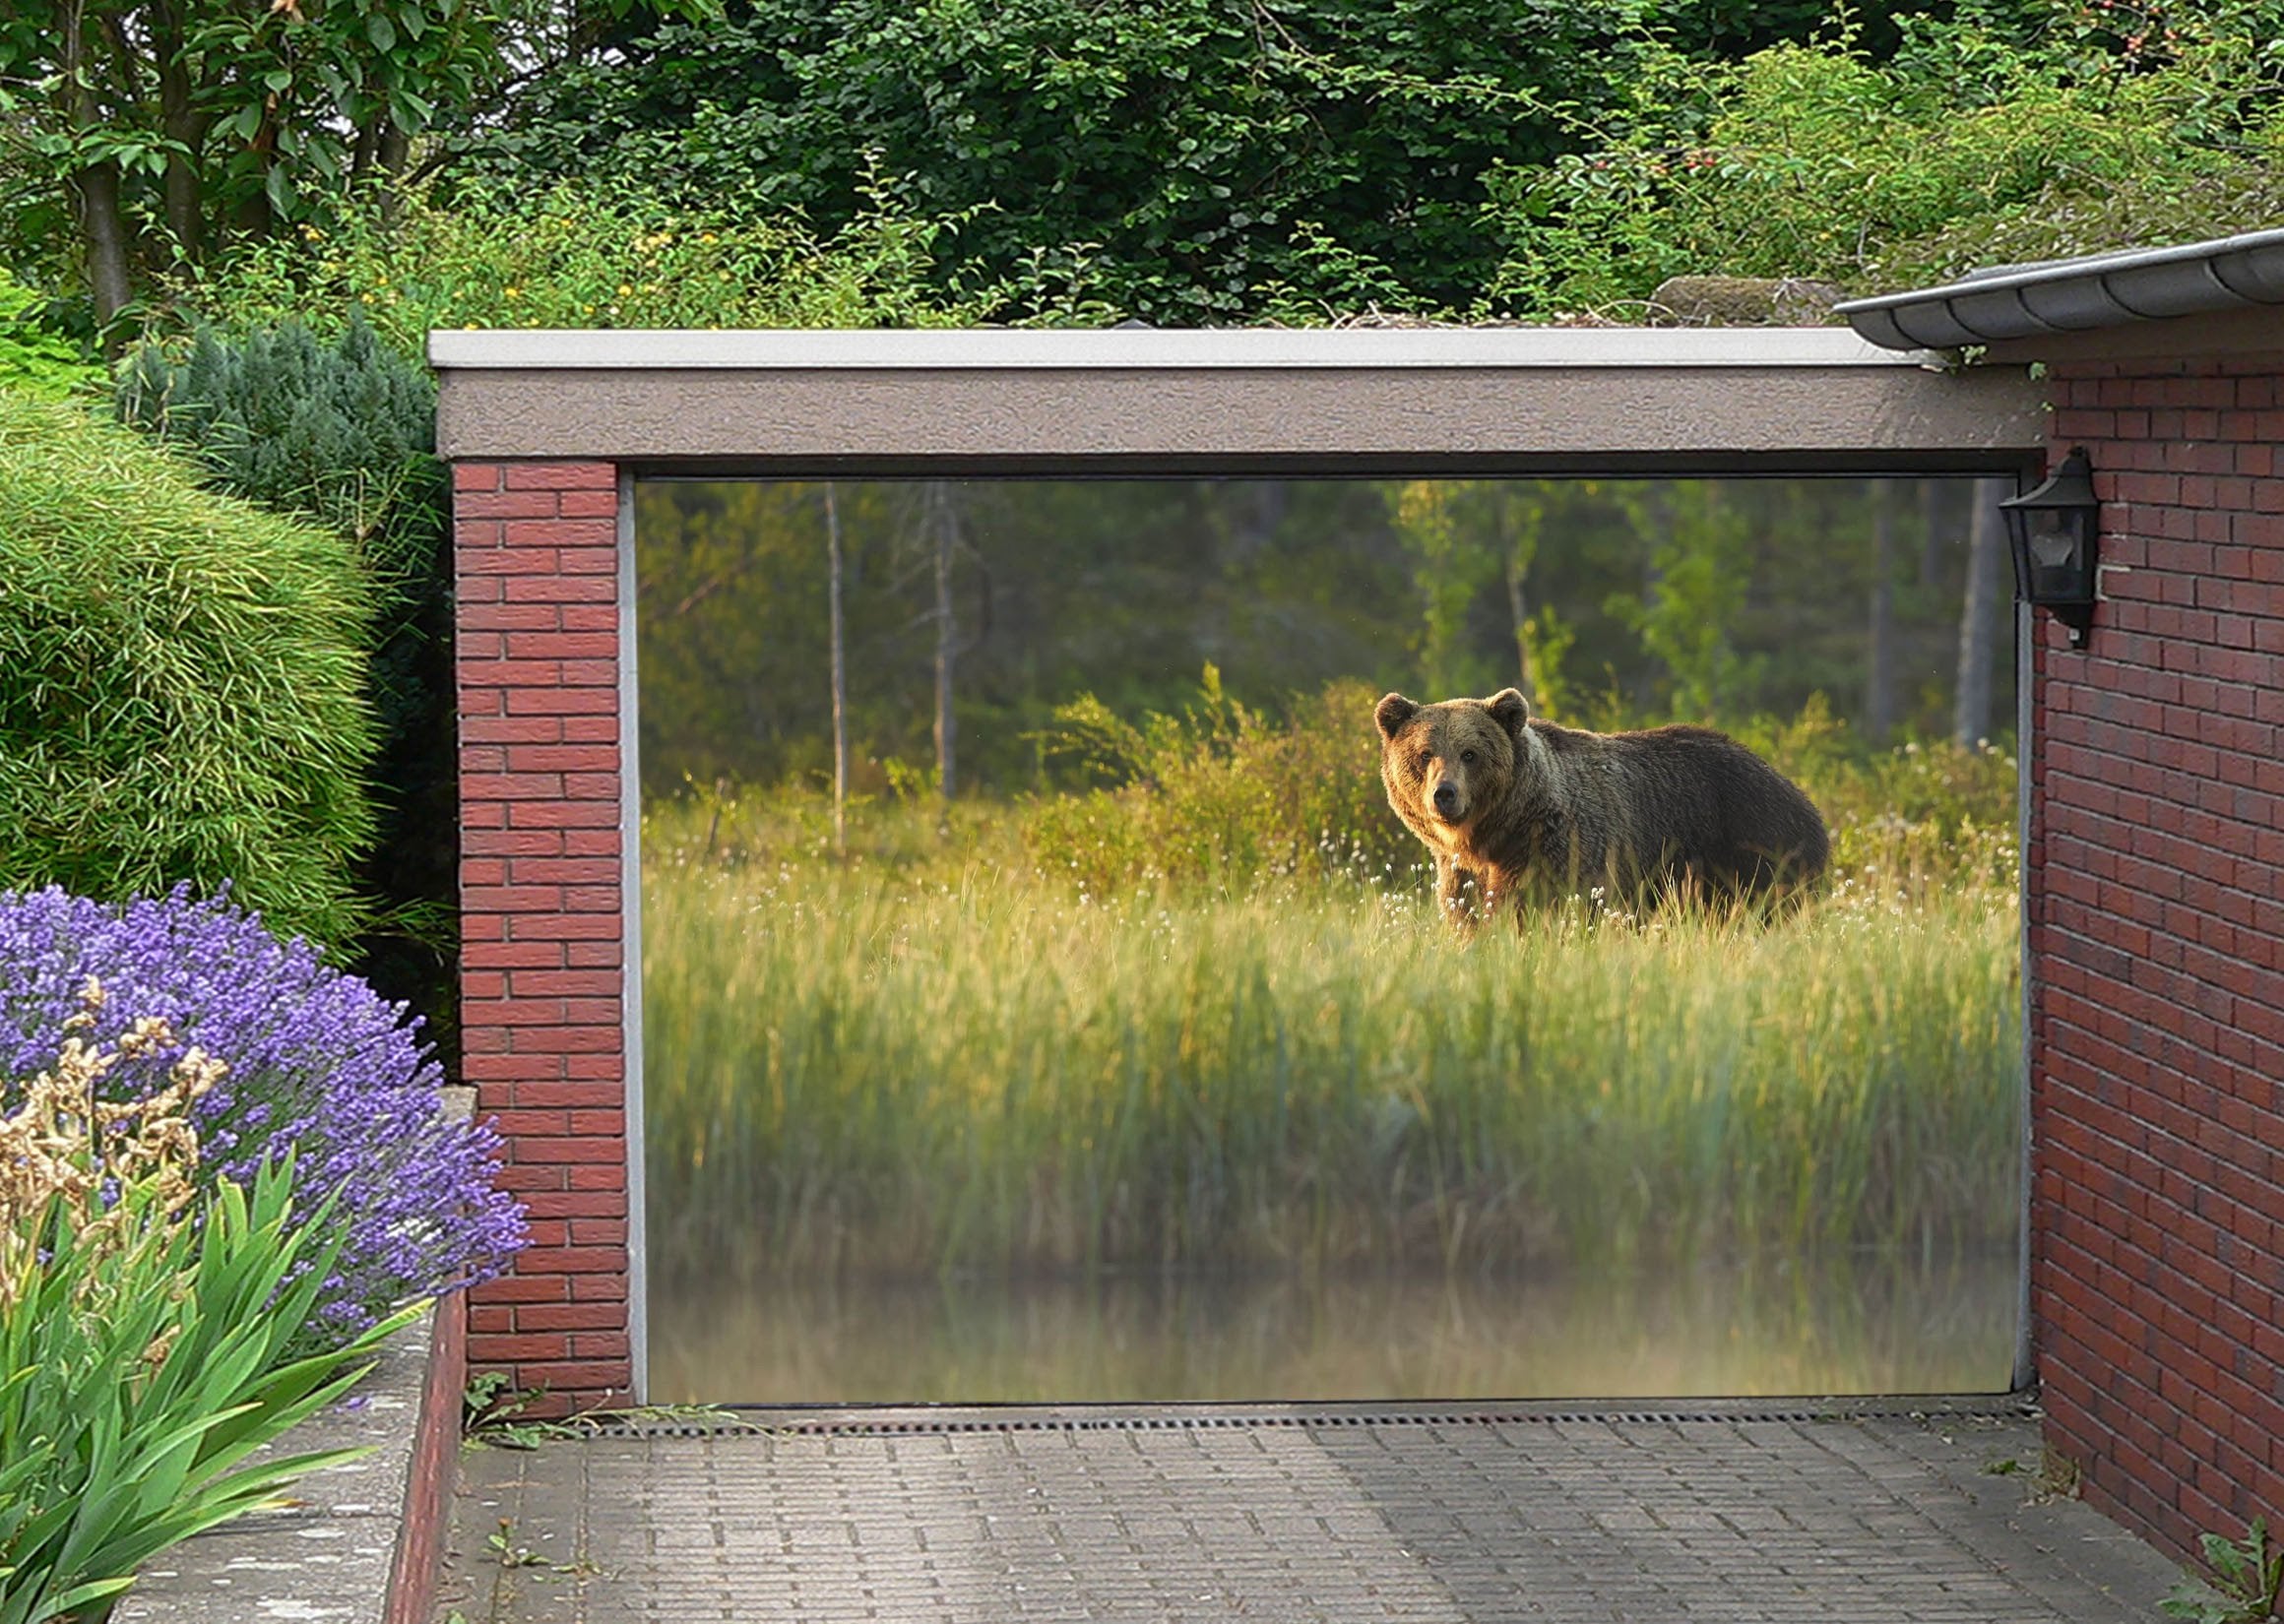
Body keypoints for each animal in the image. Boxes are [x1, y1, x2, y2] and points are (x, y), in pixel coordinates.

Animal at [1374, 688, 1829, 927]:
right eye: (1424, 753)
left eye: (1470, 754)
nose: (1445, 793)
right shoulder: (1461, 871)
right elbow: (1467, 914)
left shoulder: (1561, 848)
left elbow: (1540, 907)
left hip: (1755, 846)